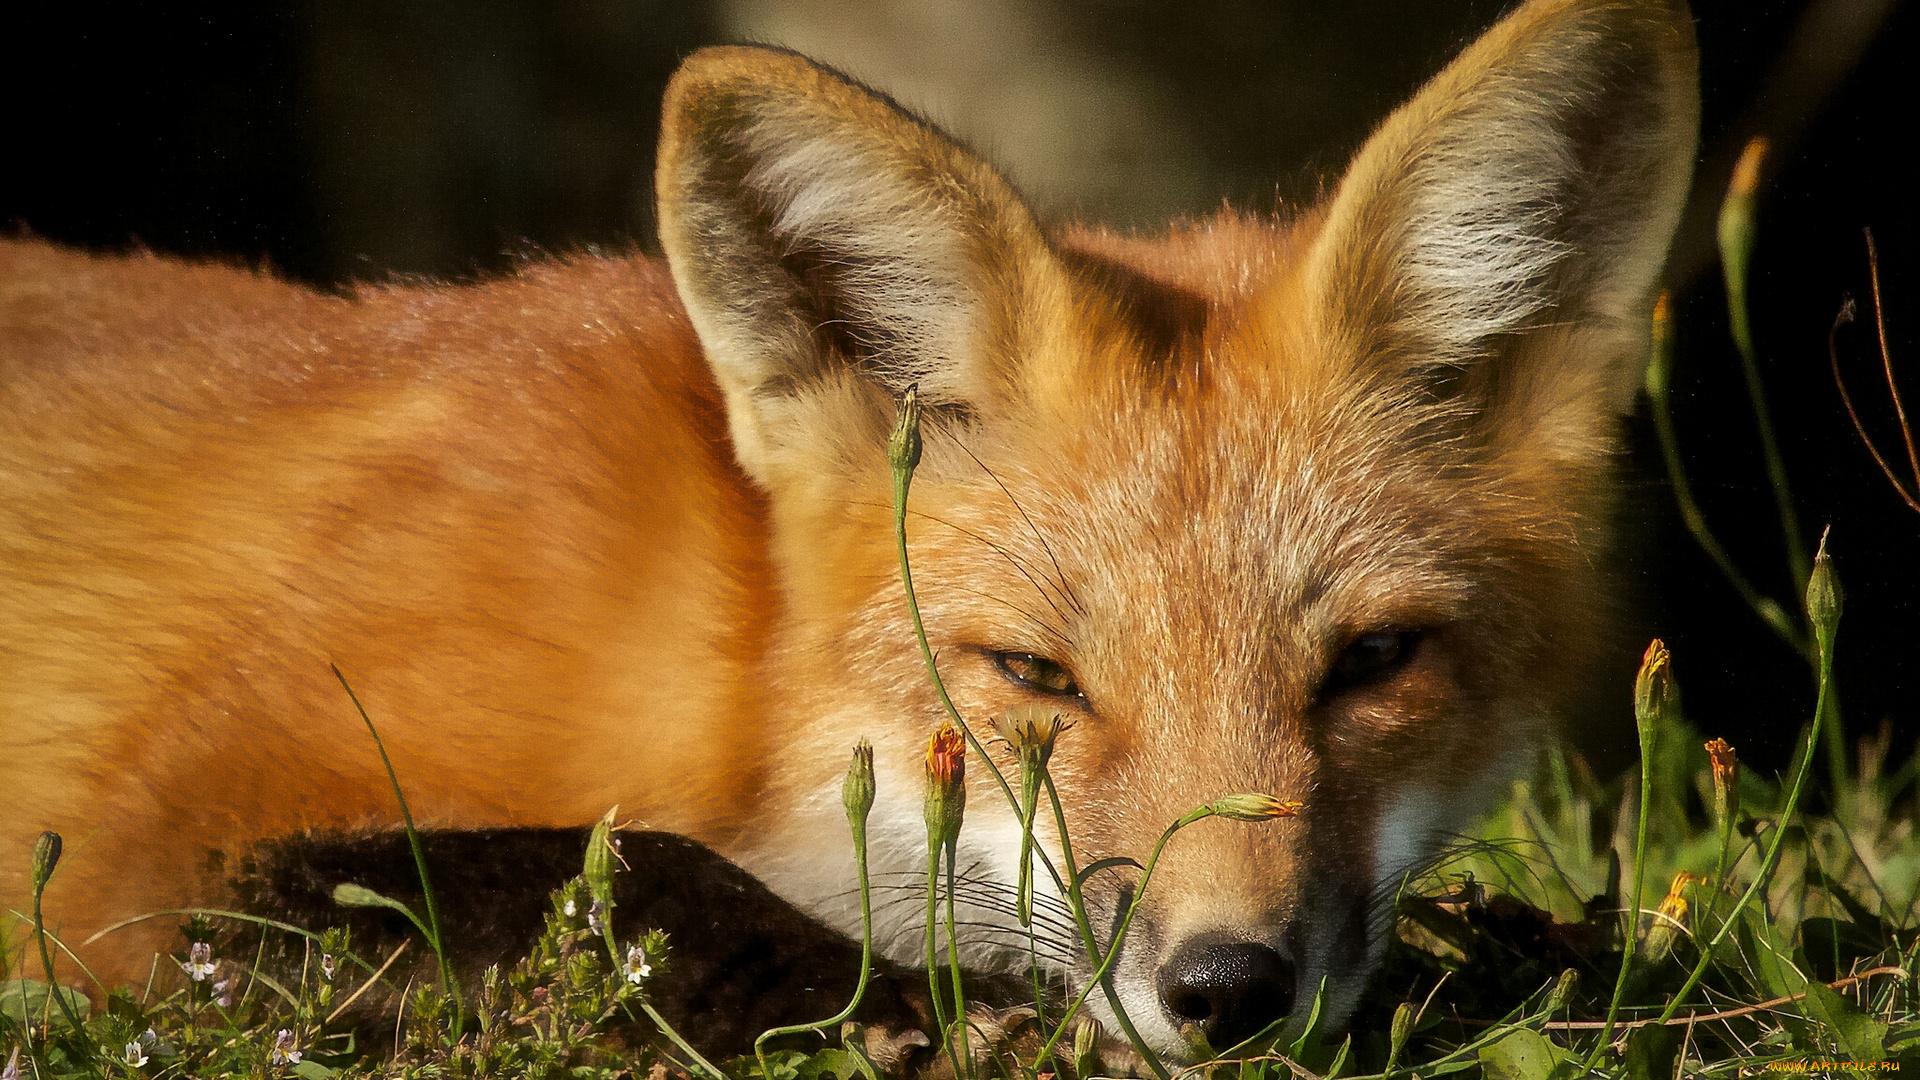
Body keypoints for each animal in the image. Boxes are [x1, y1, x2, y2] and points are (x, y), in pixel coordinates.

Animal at [7, 0, 1704, 1053]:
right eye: (1035, 678)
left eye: (1372, 663)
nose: (1227, 988)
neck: (733, 672)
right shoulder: (130, 861)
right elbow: (643, 876)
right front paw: (904, 1014)